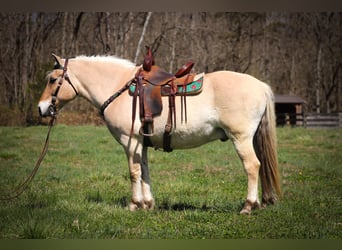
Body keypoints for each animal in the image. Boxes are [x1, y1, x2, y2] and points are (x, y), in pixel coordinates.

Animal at [38, 51, 282, 214]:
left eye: (53, 80)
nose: (41, 108)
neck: (118, 87)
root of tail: (260, 86)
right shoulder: (141, 142)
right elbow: (145, 171)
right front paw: (147, 204)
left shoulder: (130, 141)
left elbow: (133, 172)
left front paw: (134, 204)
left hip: (241, 138)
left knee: (253, 166)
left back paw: (248, 206)